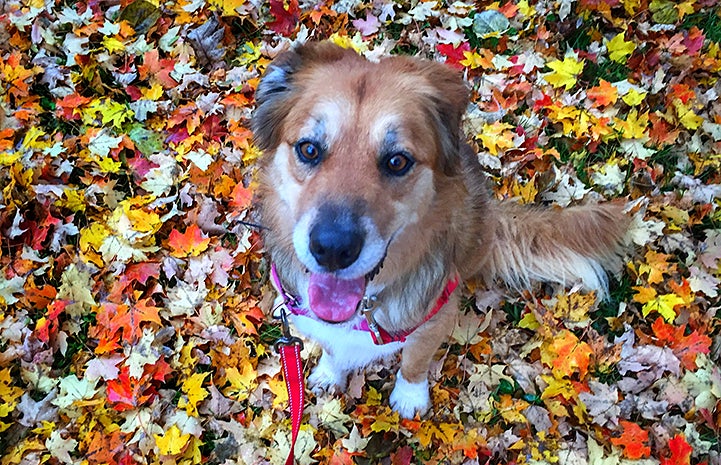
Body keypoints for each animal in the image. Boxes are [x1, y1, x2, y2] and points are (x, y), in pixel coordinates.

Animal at [250, 43, 628, 418]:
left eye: (397, 161)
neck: (366, 305)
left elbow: (415, 359)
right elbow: (330, 345)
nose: (331, 249)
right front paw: (330, 373)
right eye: (309, 149)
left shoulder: (436, 315)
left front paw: (410, 396)